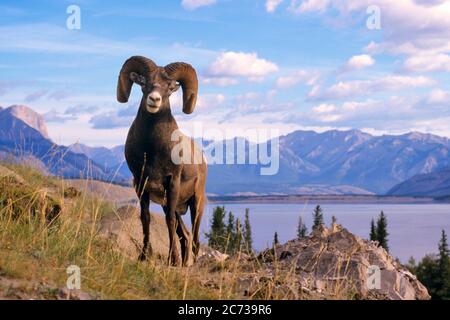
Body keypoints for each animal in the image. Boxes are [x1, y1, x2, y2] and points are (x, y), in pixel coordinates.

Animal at [116, 56, 207, 266]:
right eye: (144, 82)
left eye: (169, 87)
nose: (154, 99)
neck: (152, 149)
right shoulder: (141, 183)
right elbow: (146, 218)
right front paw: (144, 256)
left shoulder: (172, 182)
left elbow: (169, 222)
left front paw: (171, 260)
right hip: (174, 206)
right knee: (185, 236)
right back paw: (184, 263)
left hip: (196, 203)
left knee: (195, 238)